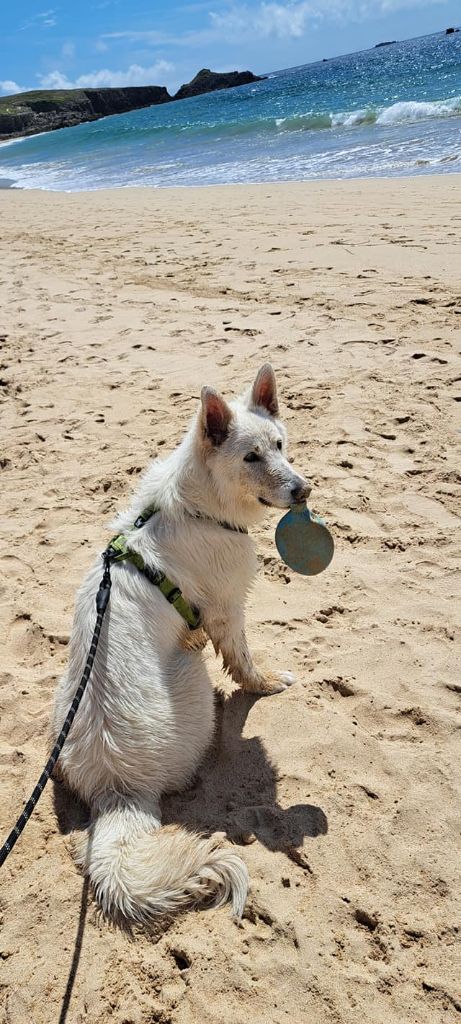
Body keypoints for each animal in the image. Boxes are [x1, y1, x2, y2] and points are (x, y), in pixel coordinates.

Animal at [52, 364, 310, 923]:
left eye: (281, 445)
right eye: (251, 457)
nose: (303, 490)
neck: (200, 506)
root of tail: (118, 791)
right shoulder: (228, 610)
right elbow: (243, 660)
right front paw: (266, 683)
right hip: (190, 674)